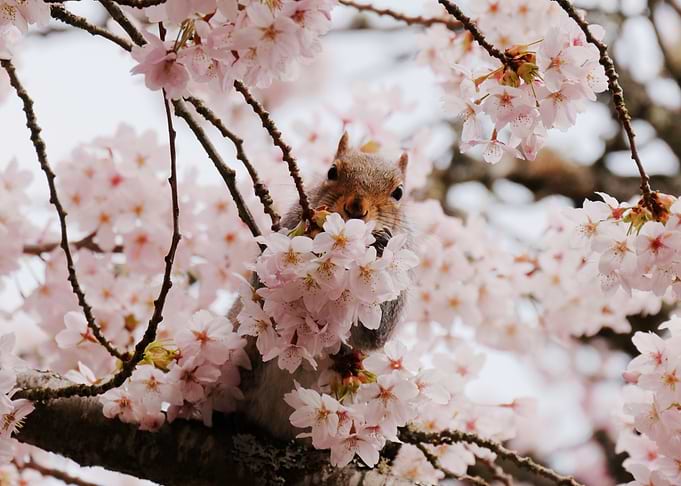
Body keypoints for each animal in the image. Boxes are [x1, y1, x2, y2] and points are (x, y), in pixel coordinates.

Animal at [230, 132, 411, 439]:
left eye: (398, 192)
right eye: (332, 172)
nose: (356, 207)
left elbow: (375, 335)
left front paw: (381, 244)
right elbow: (262, 284)